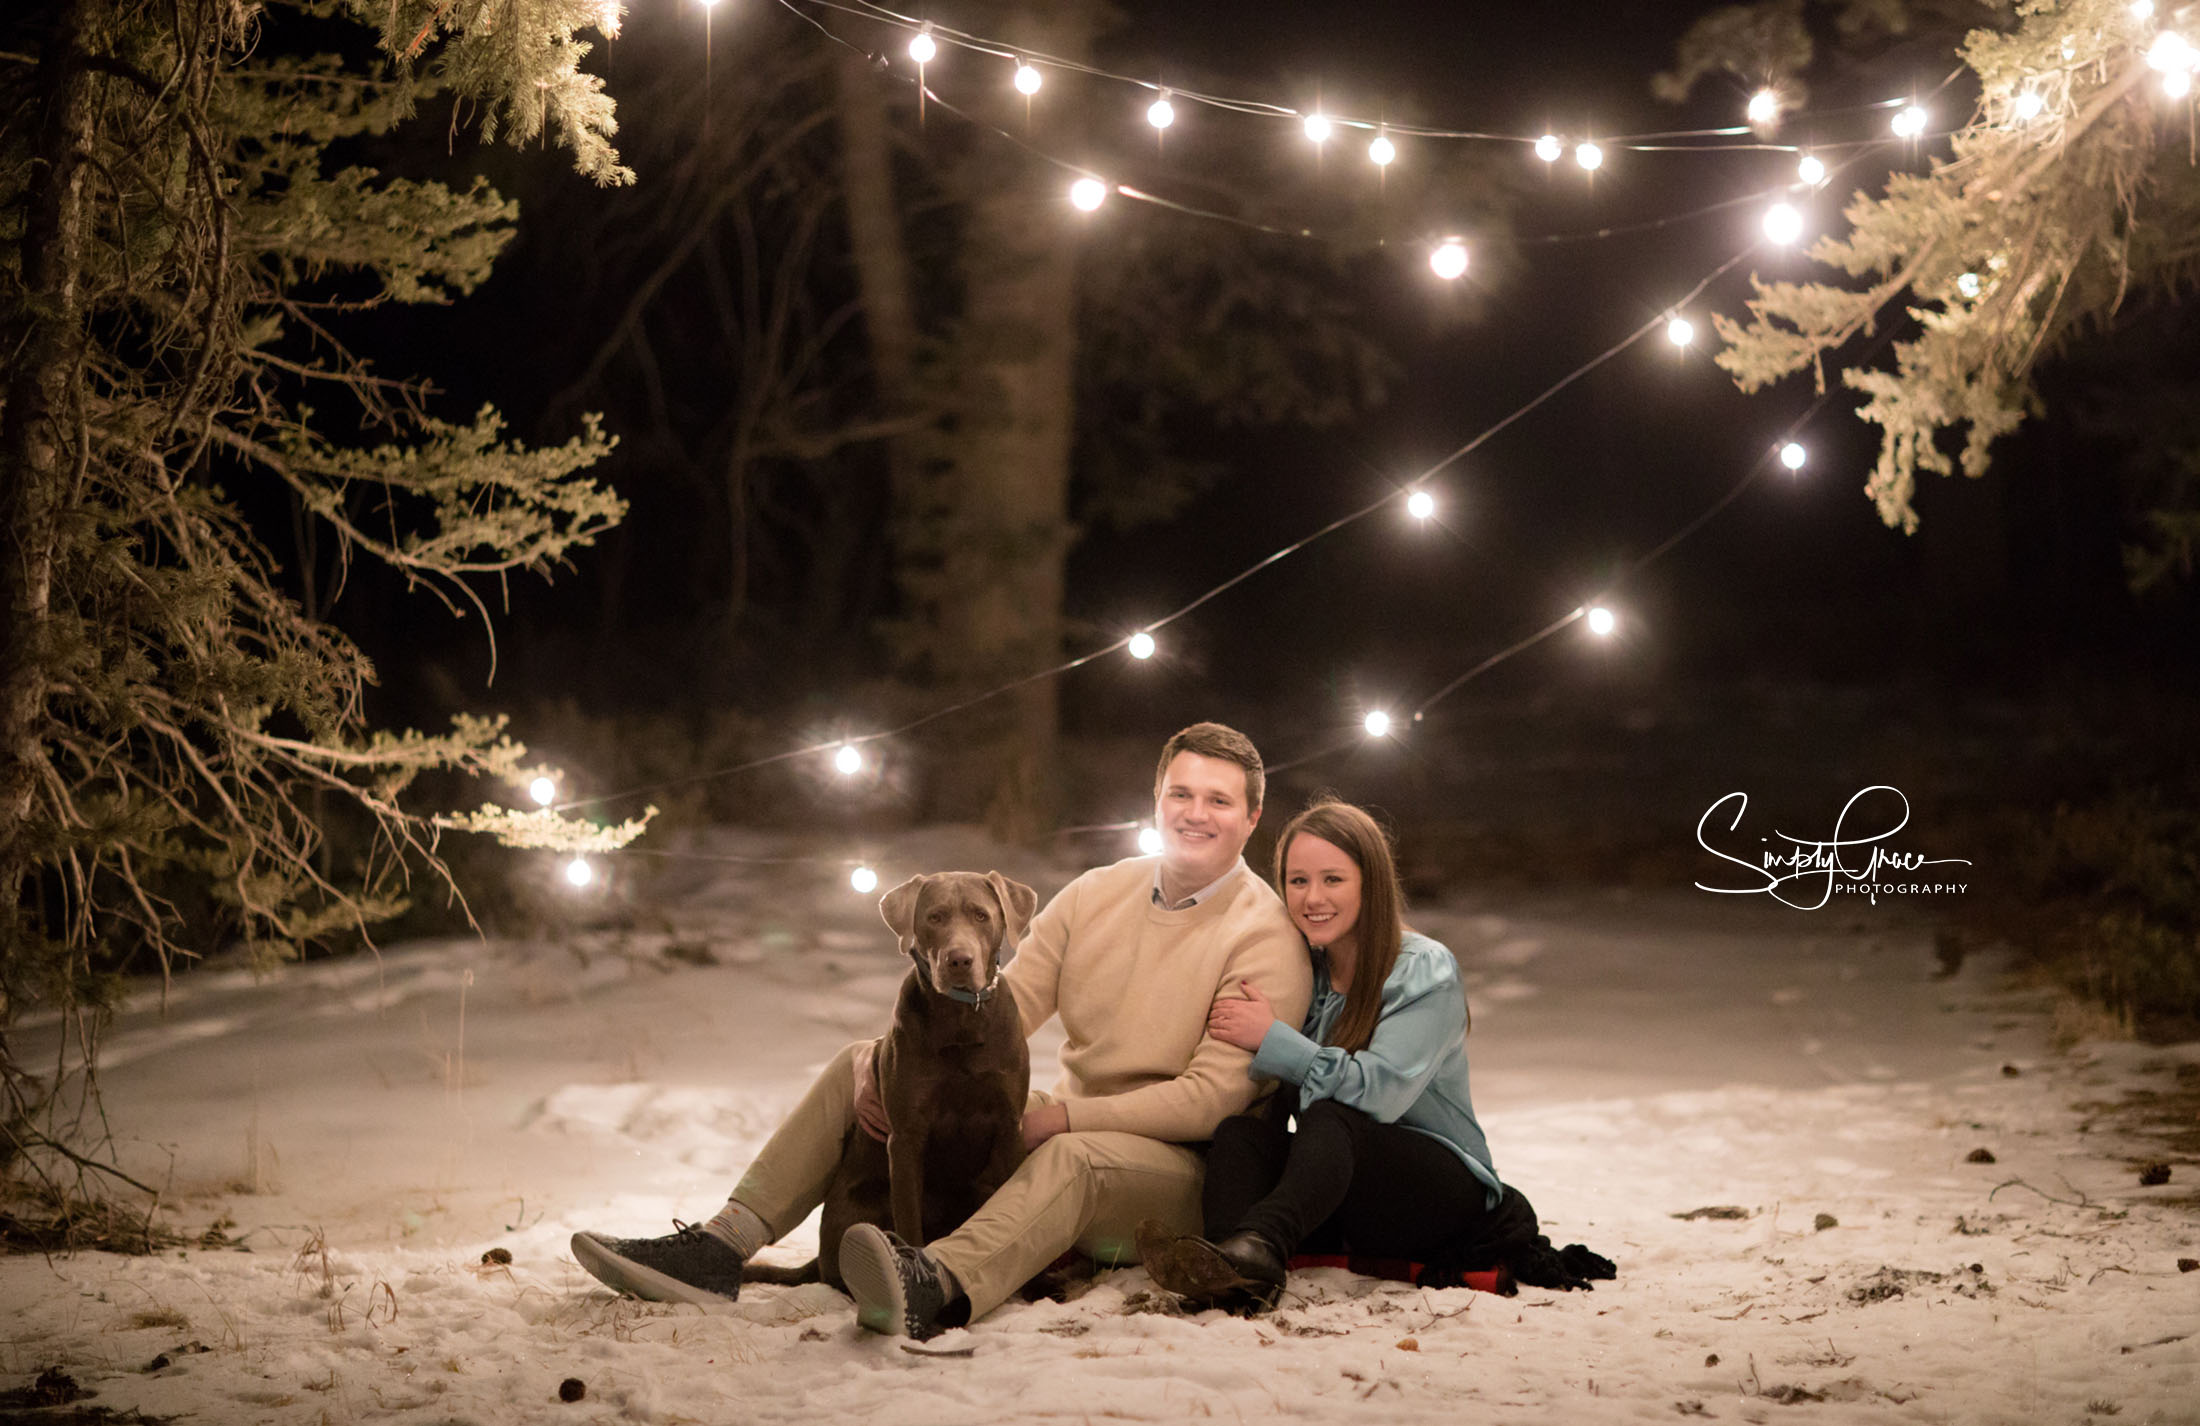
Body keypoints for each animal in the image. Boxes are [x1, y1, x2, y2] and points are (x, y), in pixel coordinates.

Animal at [743, 867, 1034, 1293]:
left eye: (981, 916)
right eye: (935, 917)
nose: (959, 960)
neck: (961, 1022)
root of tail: (819, 1258)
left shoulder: (1009, 1127)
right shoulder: (907, 1138)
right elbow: (909, 1222)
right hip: (867, 1204)